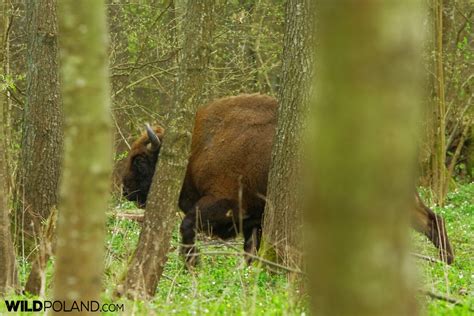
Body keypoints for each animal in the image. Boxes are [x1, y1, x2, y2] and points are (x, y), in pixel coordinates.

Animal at [122, 92, 456, 266]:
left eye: (139, 160)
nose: (125, 189)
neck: (199, 147)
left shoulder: (224, 203)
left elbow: (187, 224)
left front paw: (191, 264)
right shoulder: (254, 219)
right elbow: (250, 249)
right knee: (432, 219)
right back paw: (448, 262)